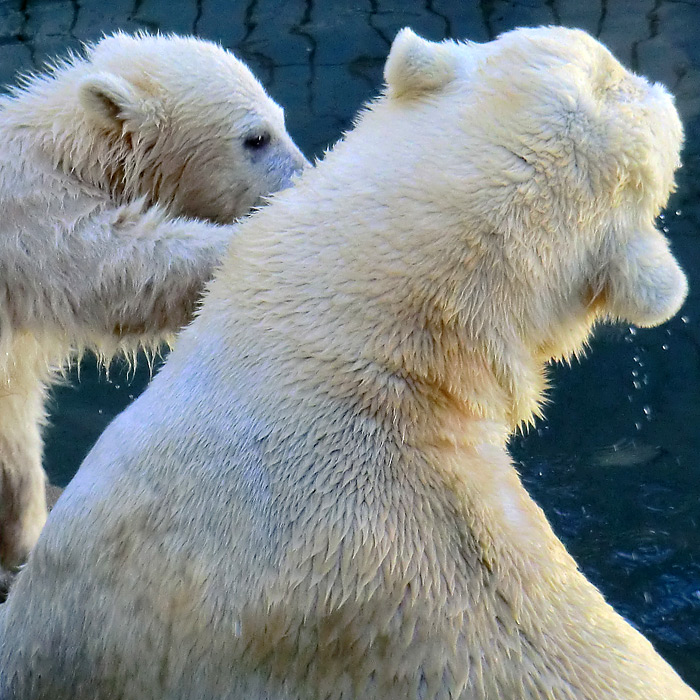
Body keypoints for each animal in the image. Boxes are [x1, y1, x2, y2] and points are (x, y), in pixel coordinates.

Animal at [0, 31, 308, 568]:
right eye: (256, 138)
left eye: (282, 119)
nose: (304, 177)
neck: (68, 151)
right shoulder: (32, 220)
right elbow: (122, 269)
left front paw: (23, 540)